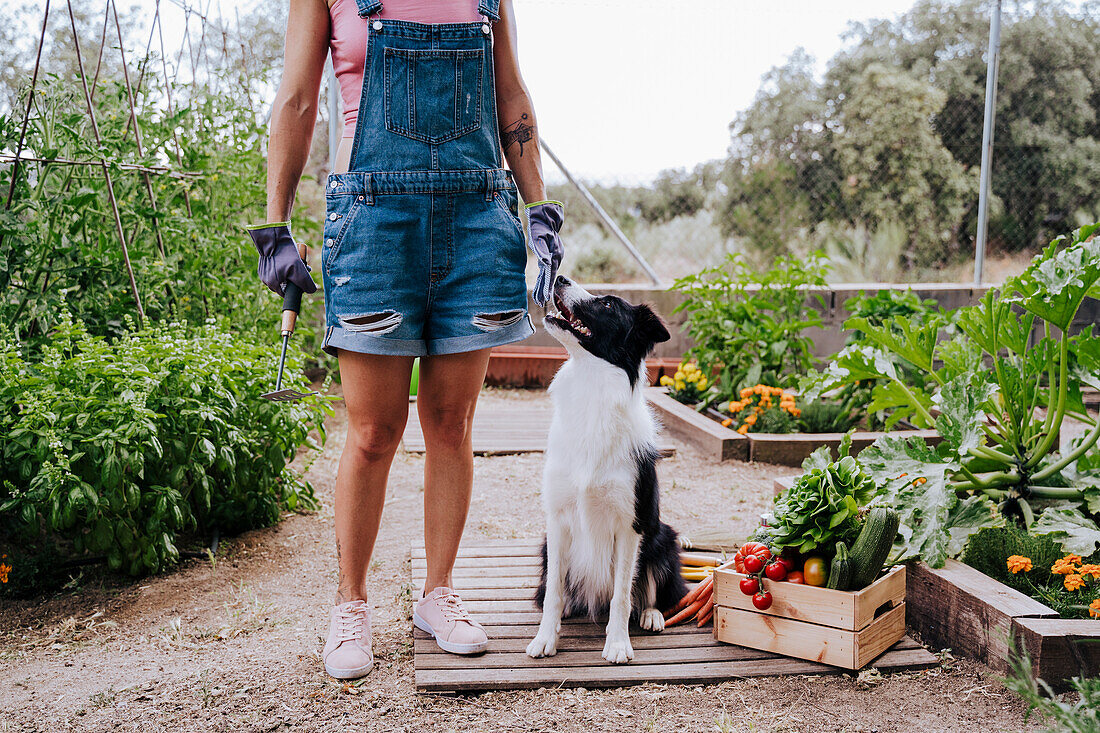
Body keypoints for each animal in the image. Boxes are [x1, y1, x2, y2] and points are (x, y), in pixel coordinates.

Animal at [525, 274, 686, 660]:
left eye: (609, 304)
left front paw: (617, 643)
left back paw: (652, 615)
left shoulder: (631, 525)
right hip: (545, 546)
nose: (559, 277)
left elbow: (621, 595)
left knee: (653, 592)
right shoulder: (557, 520)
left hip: (662, 538)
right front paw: (545, 638)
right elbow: (553, 592)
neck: (591, 386)